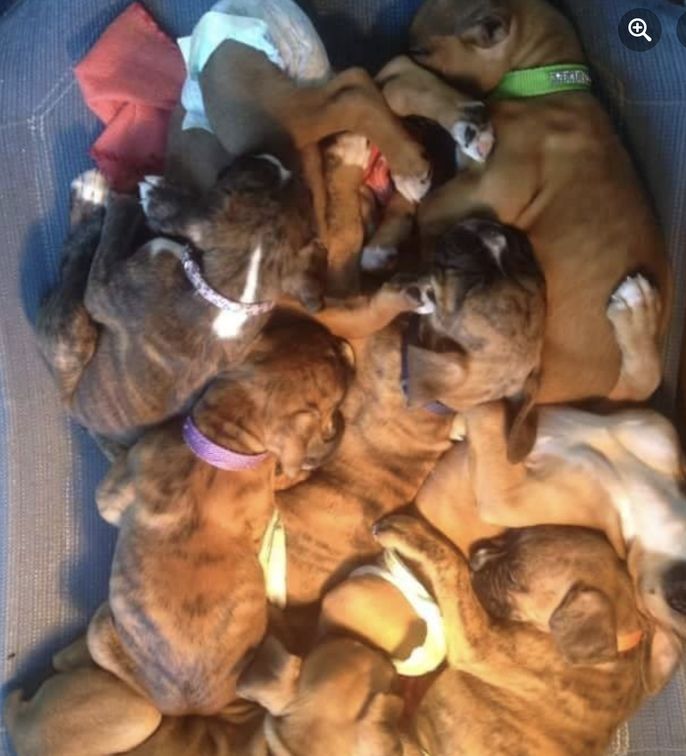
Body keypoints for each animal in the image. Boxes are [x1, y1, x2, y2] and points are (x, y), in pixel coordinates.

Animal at [86, 315, 354, 716]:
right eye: (332, 360)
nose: (343, 343)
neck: (222, 440)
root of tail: (190, 706)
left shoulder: (116, 492)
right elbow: (285, 476)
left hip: (99, 636)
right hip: (101, 630)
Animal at [374, 0, 671, 408]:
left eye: (422, 49)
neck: (543, 81)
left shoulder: (479, 194)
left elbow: (401, 81)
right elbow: (398, 78)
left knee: (645, 379)